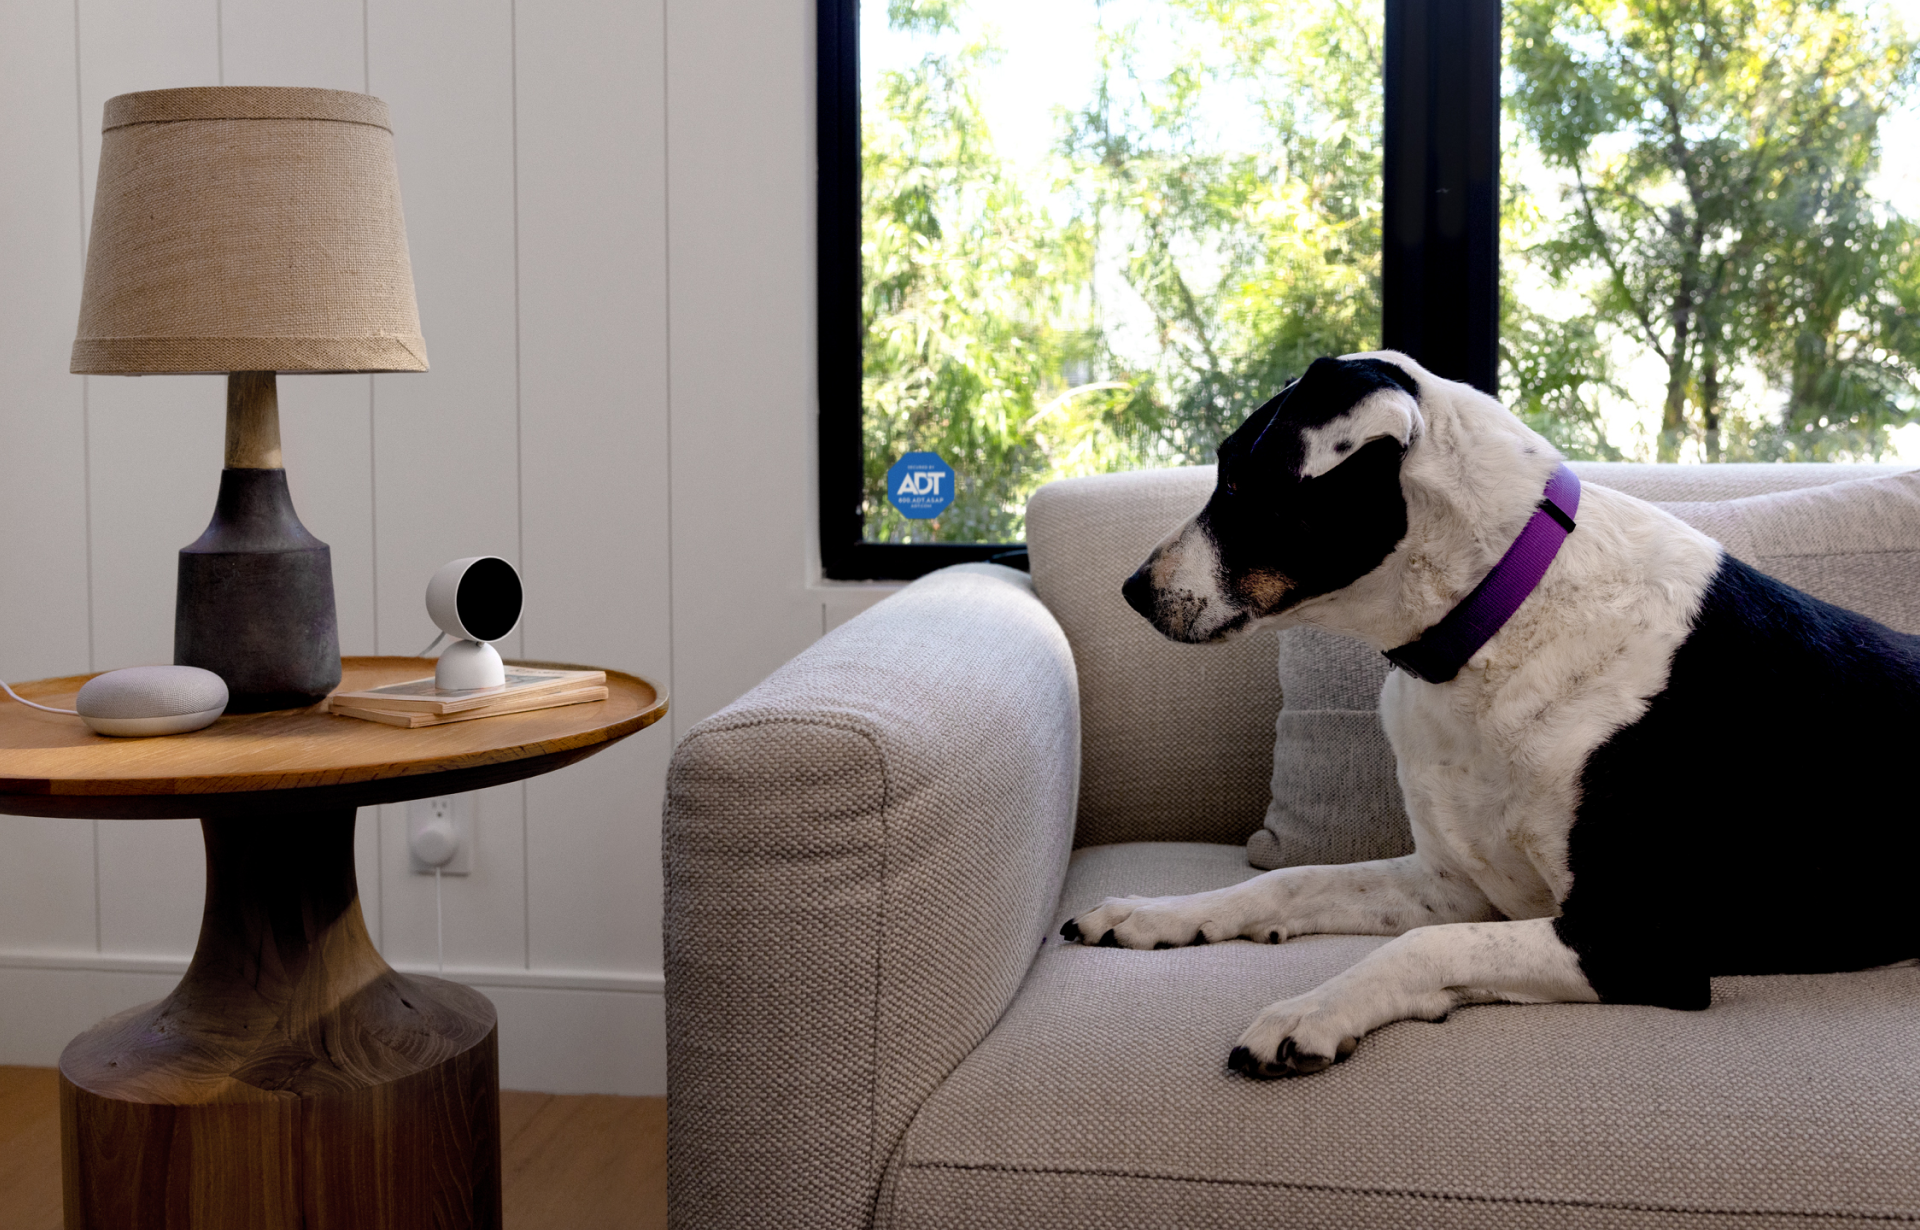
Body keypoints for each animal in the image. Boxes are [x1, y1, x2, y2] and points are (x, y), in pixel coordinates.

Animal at [1059, 353, 1912, 1074]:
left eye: (1239, 481)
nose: (1132, 589)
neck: (1491, 624)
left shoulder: (1638, 938)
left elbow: (1425, 948)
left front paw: (1308, 1012)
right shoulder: (1455, 882)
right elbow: (1288, 883)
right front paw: (1158, 913)